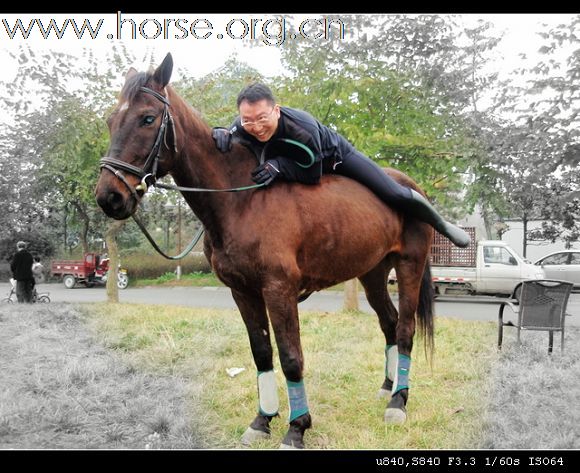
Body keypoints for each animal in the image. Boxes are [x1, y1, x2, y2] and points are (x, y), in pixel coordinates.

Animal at [93, 53, 432, 448]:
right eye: (111, 121)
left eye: (148, 118)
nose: (110, 196)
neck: (242, 199)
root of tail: (411, 187)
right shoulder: (243, 291)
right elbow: (261, 353)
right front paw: (262, 420)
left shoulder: (278, 289)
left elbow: (291, 357)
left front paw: (297, 427)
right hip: (372, 272)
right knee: (389, 323)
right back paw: (388, 387)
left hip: (409, 266)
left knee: (405, 328)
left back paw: (398, 401)